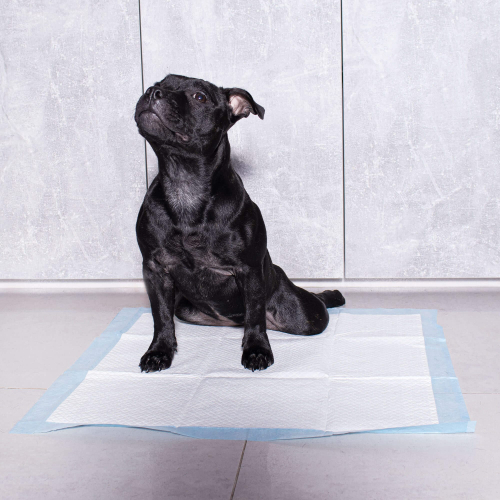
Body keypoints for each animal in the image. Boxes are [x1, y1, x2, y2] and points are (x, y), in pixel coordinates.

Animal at [134, 74, 345, 372]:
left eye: (199, 97)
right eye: (158, 83)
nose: (153, 92)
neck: (184, 184)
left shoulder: (250, 269)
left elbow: (255, 316)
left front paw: (256, 350)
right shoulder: (155, 269)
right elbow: (161, 316)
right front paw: (159, 351)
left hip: (305, 315)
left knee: (311, 306)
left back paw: (331, 295)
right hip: (187, 310)